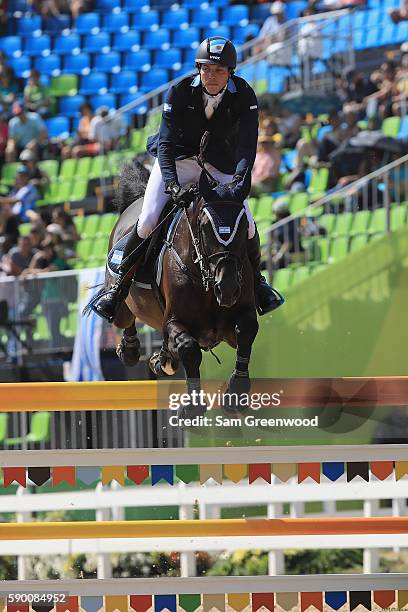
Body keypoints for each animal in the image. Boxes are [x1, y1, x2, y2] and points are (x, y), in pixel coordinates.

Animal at [90, 158, 262, 418]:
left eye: (244, 227)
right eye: (204, 225)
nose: (228, 288)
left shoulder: (235, 322)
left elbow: (246, 331)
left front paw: (236, 393)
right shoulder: (174, 320)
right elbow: (189, 348)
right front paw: (192, 406)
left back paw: (161, 359)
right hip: (123, 306)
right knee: (124, 315)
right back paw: (130, 349)